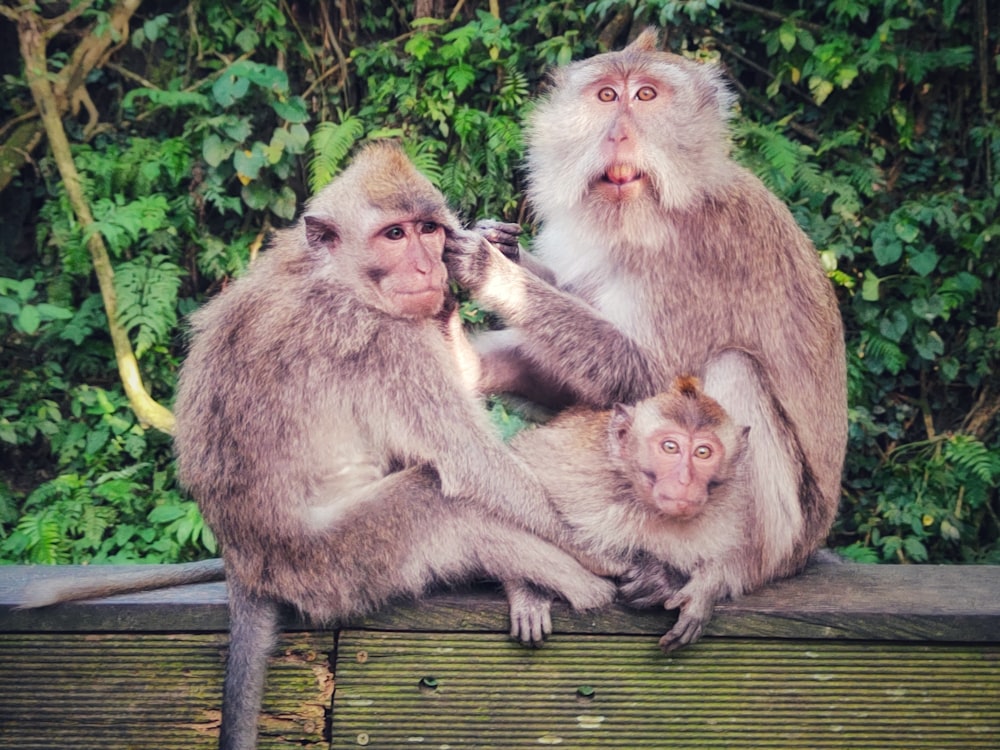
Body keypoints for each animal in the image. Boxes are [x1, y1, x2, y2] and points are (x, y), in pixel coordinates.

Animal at [25, 142, 616, 750]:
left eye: (428, 229)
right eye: (395, 234)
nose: (428, 267)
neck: (335, 275)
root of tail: (246, 565)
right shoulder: (383, 341)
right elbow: (471, 467)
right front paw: (608, 556)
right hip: (335, 564)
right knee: (435, 500)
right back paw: (575, 587)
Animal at [450, 26, 848, 648]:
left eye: (646, 96)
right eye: (607, 96)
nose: (618, 132)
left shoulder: (691, 255)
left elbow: (652, 378)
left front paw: (492, 271)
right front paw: (499, 267)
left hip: (791, 536)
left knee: (733, 367)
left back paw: (718, 573)